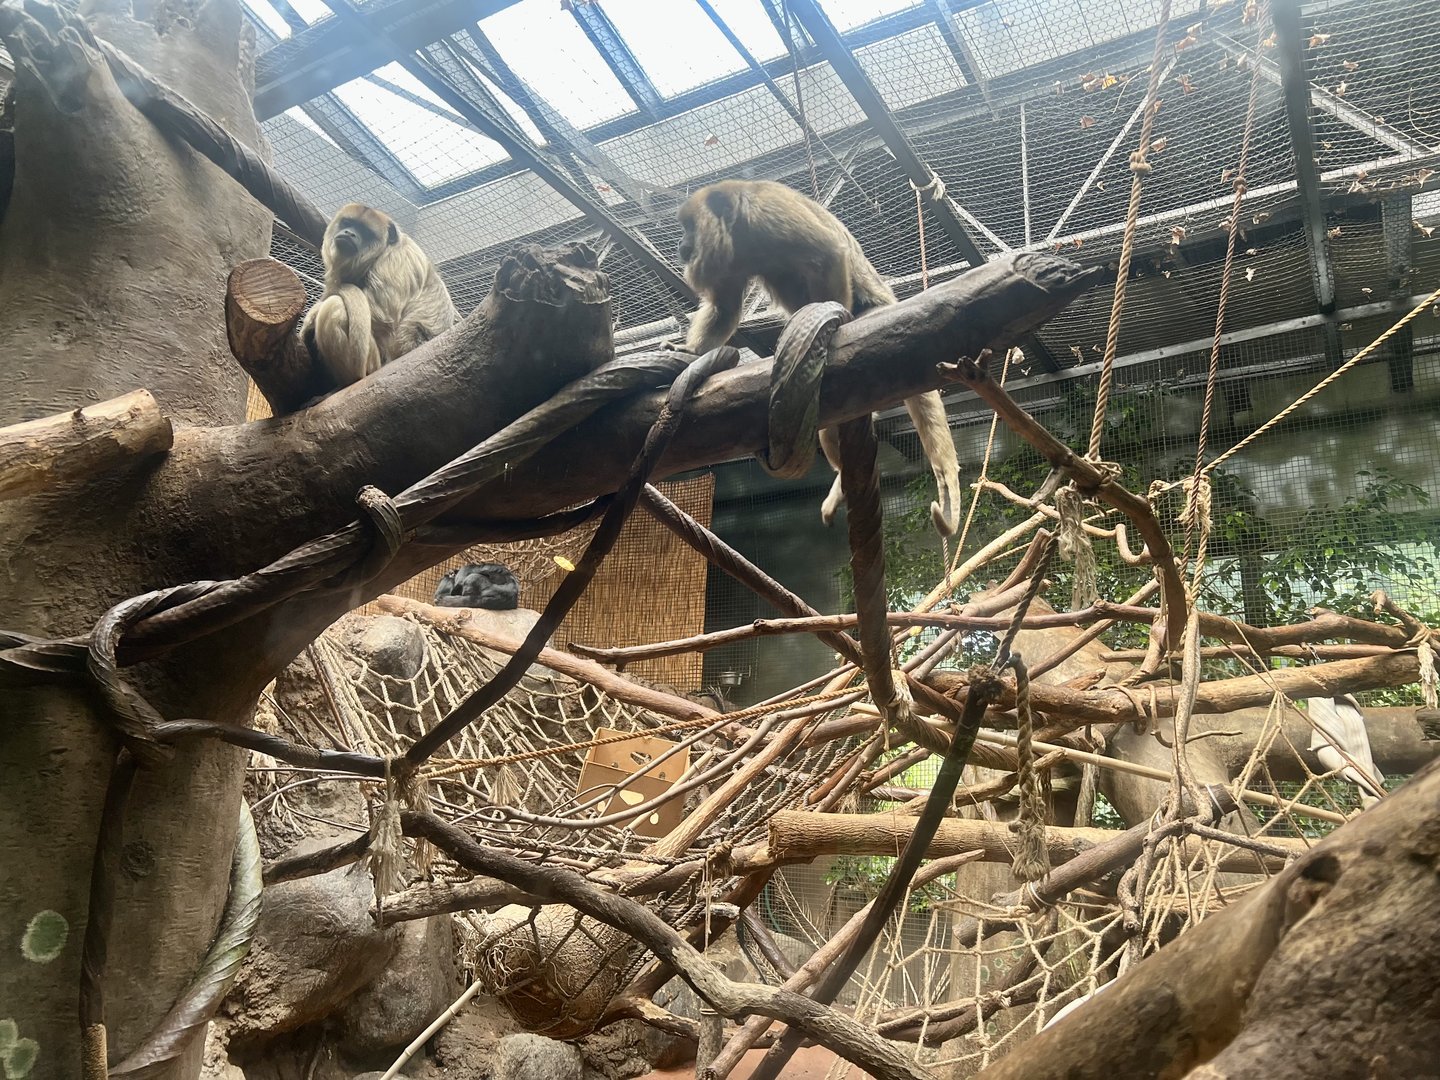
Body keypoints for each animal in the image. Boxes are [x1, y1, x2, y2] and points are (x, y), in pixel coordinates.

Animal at [301, 203, 458, 390]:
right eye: (347, 223)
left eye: (365, 231)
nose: (349, 233)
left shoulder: (395, 262)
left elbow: (381, 316)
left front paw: (312, 314)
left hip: (373, 362)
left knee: (336, 307)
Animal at [675, 179, 961, 536]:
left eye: (689, 228)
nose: (680, 243)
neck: (741, 233)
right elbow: (724, 309)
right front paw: (691, 353)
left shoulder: (767, 210)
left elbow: (829, 253)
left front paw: (836, 323)